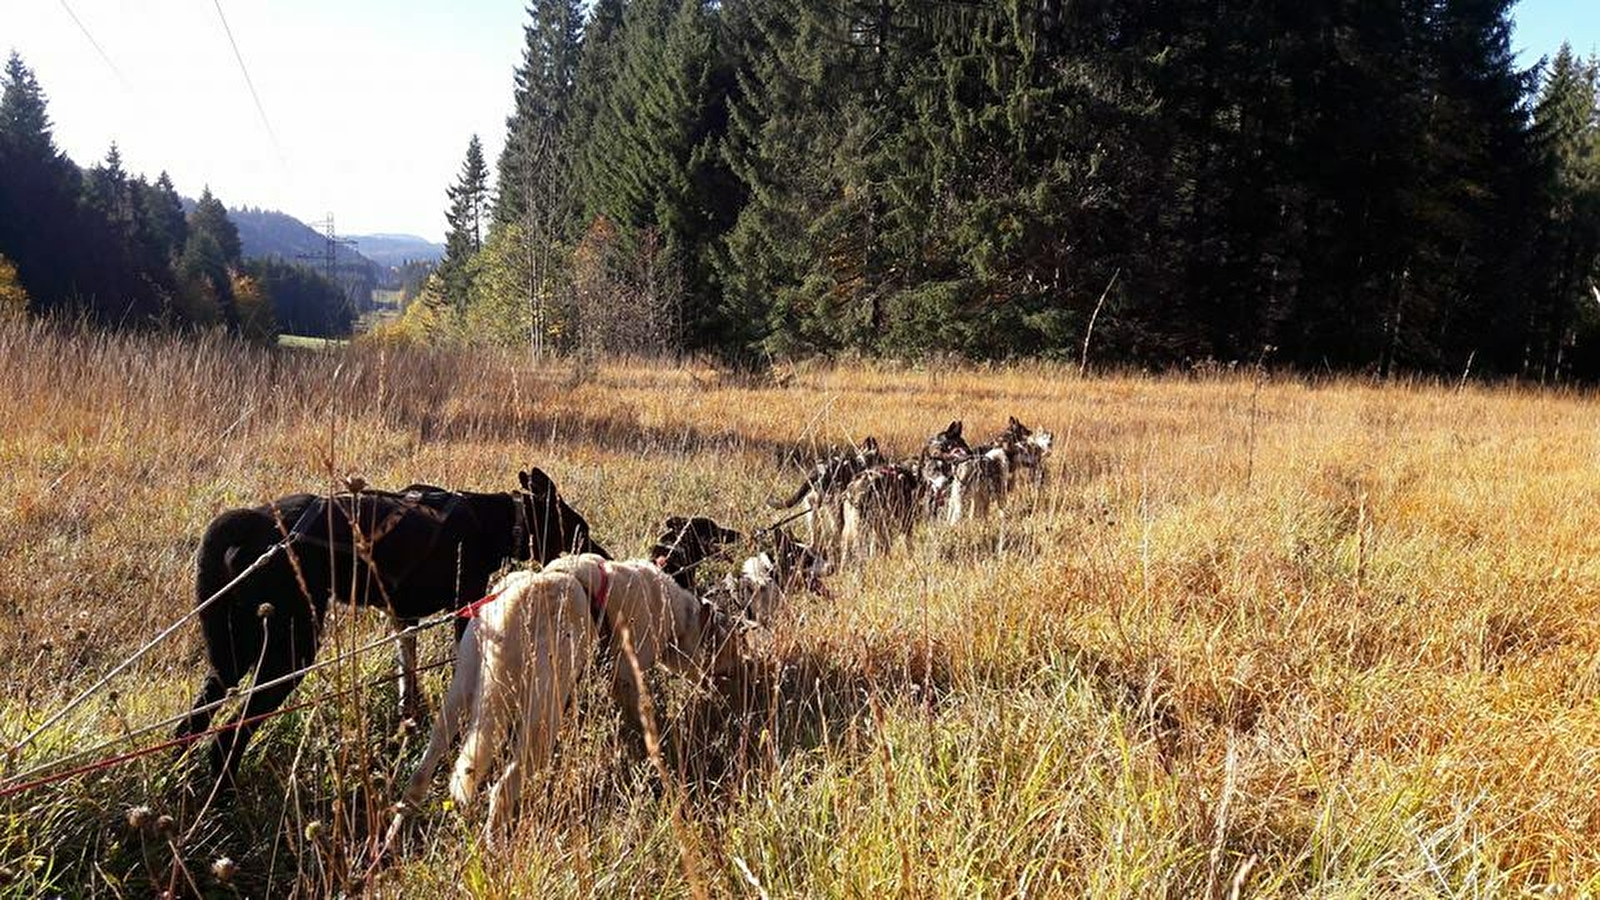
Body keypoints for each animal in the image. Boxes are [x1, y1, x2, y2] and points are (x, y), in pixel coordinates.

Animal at [172, 464, 601, 775]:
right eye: (581, 528)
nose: (605, 554)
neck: (493, 521)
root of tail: (248, 525)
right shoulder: (464, 610)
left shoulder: (403, 621)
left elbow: (406, 684)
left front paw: (407, 729)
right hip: (290, 651)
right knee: (227, 739)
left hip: (230, 653)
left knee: (192, 724)